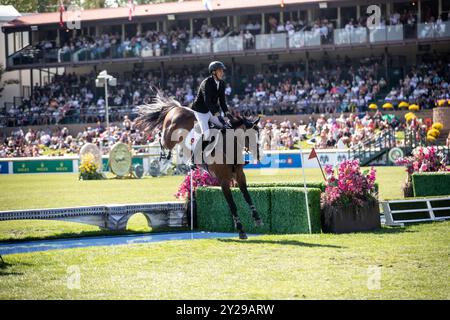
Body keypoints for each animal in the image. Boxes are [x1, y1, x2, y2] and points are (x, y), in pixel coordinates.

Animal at [135, 90, 262, 240]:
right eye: (248, 136)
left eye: (258, 134)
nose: (258, 155)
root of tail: (177, 108)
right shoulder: (224, 181)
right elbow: (232, 204)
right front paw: (241, 229)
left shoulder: (240, 175)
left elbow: (247, 196)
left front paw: (257, 218)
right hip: (169, 138)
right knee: (161, 137)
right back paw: (164, 154)